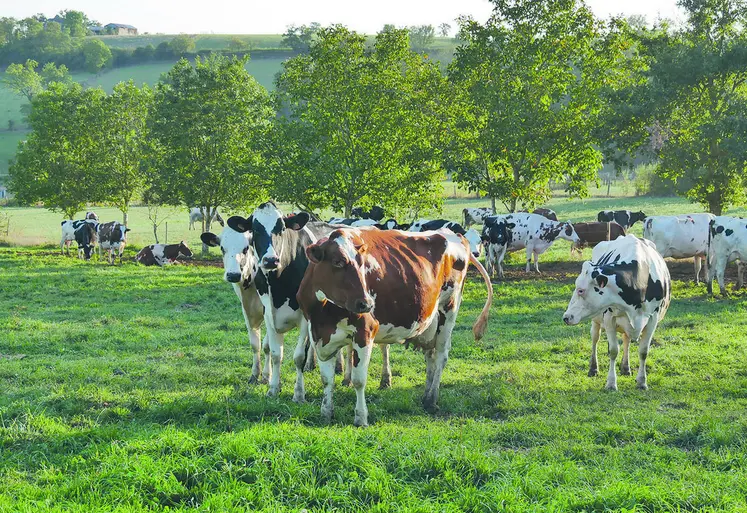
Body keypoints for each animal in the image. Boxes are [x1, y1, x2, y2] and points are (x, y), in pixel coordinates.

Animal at [201, 227, 270, 384]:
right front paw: (255, 374)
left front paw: (267, 376)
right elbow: (255, 344)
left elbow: (268, 345)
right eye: (221, 248)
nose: (233, 275)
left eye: (246, 248)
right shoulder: (247, 311)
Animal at [297, 227, 493, 426]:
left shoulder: (365, 331)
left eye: (362, 264)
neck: (323, 312)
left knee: (441, 356)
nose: (366, 303)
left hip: (449, 308)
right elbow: (327, 379)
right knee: (430, 355)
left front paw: (361, 417)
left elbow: (359, 379)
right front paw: (326, 413)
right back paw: (426, 396)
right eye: (338, 262)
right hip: (430, 321)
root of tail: (453, 233)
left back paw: (432, 400)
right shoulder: (319, 334)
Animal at [563, 235, 671, 390]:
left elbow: (643, 351)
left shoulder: (653, 319)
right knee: (595, 339)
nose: (566, 317)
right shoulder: (609, 318)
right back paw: (593, 368)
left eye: (580, 290)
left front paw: (642, 382)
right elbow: (613, 350)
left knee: (626, 339)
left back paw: (626, 368)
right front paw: (611, 383)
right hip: (596, 320)